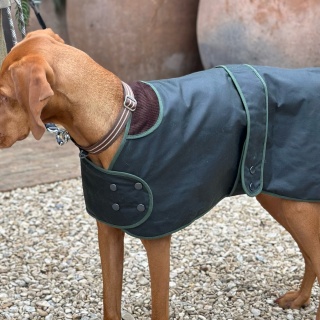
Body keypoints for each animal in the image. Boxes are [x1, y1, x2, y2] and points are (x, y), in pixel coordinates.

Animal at [0, 28, 318, 318]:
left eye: (3, 96)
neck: (115, 121)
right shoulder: (108, 228)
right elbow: (110, 301)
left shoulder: (157, 240)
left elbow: (159, 307)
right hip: (281, 199)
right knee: (311, 257)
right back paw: (300, 299)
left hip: (295, 206)